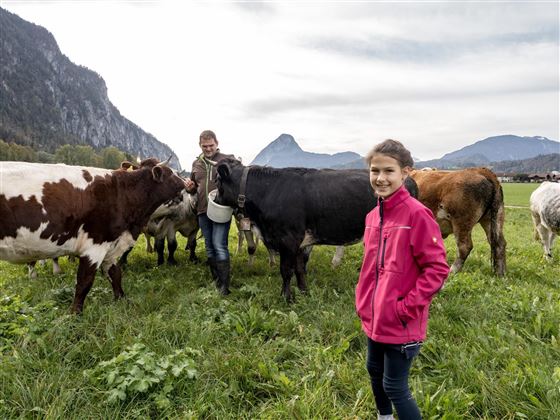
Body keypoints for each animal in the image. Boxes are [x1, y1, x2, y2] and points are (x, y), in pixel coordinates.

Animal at [0, 158, 188, 312]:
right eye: (171, 173)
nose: (188, 182)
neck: (122, 193)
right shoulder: (94, 245)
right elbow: (84, 282)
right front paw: (74, 314)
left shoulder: (112, 244)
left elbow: (115, 275)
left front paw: (122, 300)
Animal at [217, 158, 418, 302]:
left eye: (218, 181)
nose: (216, 200)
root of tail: (409, 179)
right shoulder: (300, 243)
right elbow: (299, 269)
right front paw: (303, 292)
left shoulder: (288, 239)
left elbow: (286, 270)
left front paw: (286, 298)